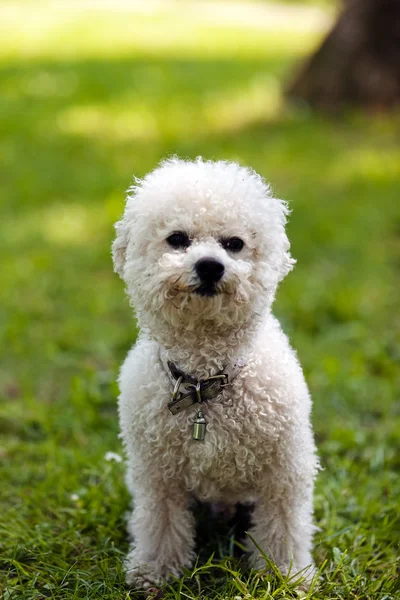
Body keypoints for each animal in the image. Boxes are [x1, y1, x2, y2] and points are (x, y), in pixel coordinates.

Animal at [112, 157, 318, 588]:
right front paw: (155, 570)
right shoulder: (157, 475)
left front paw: (287, 575)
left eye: (234, 243)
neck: (204, 383)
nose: (210, 266)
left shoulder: (284, 473)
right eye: (177, 239)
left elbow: (283, 528)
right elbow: (160, 523)